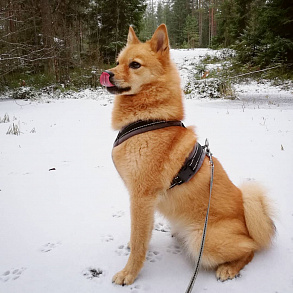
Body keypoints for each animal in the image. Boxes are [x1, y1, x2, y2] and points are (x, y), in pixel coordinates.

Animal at [99, 24, 274, 284]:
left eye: (135, 64)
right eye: (118, 62)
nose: (106, 74)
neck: (149, 119)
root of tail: (247, 220)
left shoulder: (141, 197)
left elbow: (140, 242)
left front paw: (129, 273)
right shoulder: (141, 202)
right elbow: (139, 235)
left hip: (202, 240)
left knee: (249, 249)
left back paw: (229, 268)